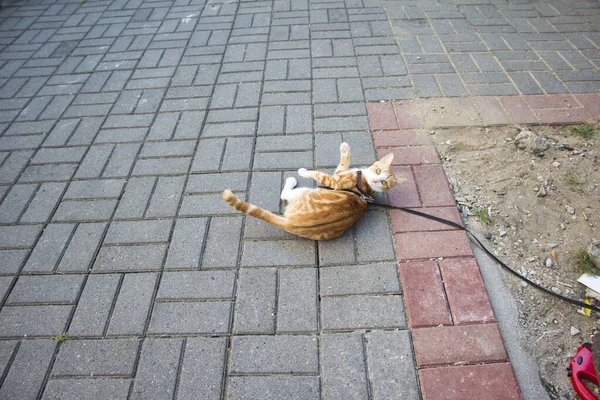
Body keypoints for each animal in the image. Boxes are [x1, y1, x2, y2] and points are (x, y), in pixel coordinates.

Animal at [221, 142, 404, 239]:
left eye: (384, 182)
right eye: (379, 171)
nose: (376, 180)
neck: (365, 184)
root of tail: (291, 224)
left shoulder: (334, 181)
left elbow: (319, 173)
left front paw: (304, 171)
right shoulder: (339, 174)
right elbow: (343, 163)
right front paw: (346, 148)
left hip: (302, 192)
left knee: (285, 193)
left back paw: (291, 180)